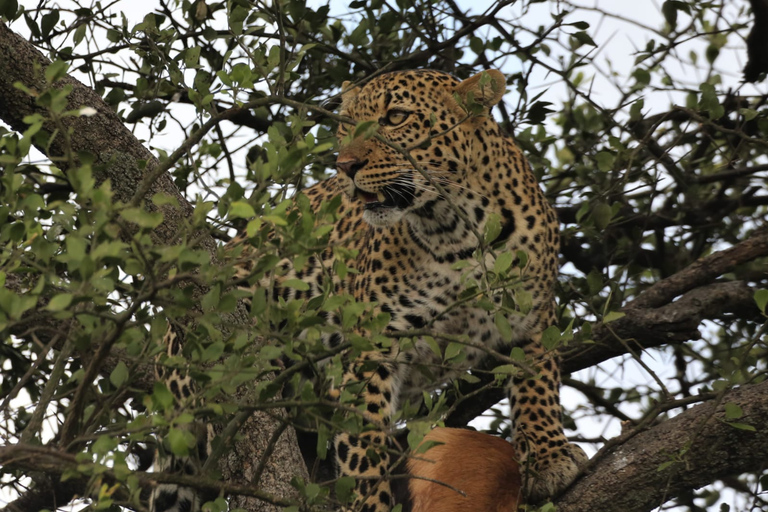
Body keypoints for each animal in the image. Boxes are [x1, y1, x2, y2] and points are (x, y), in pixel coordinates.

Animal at [148, 70, 584, 512]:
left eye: (395, 117)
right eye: (346, 126)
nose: (345, 166)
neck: (455, 230)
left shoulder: (532, 320)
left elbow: (537, 387)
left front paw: (548, 457)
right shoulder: (373, 344)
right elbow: (364, 439)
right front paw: (370, 502)